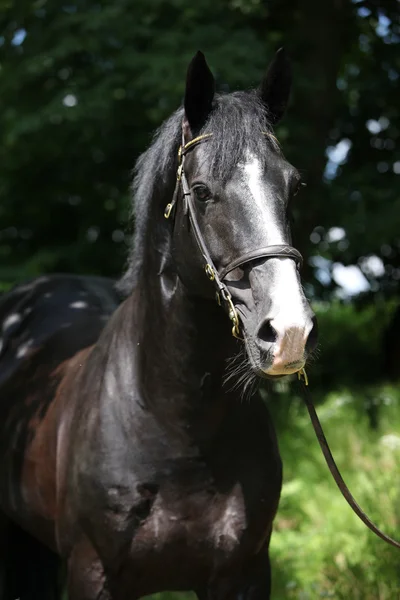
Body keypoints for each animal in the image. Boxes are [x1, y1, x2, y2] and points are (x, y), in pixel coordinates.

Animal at [0, 51, 318, 600]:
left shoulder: (245, 575)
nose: (288, 333)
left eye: (293, 185)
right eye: (203, 191)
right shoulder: (92, 575)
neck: (176, 425)